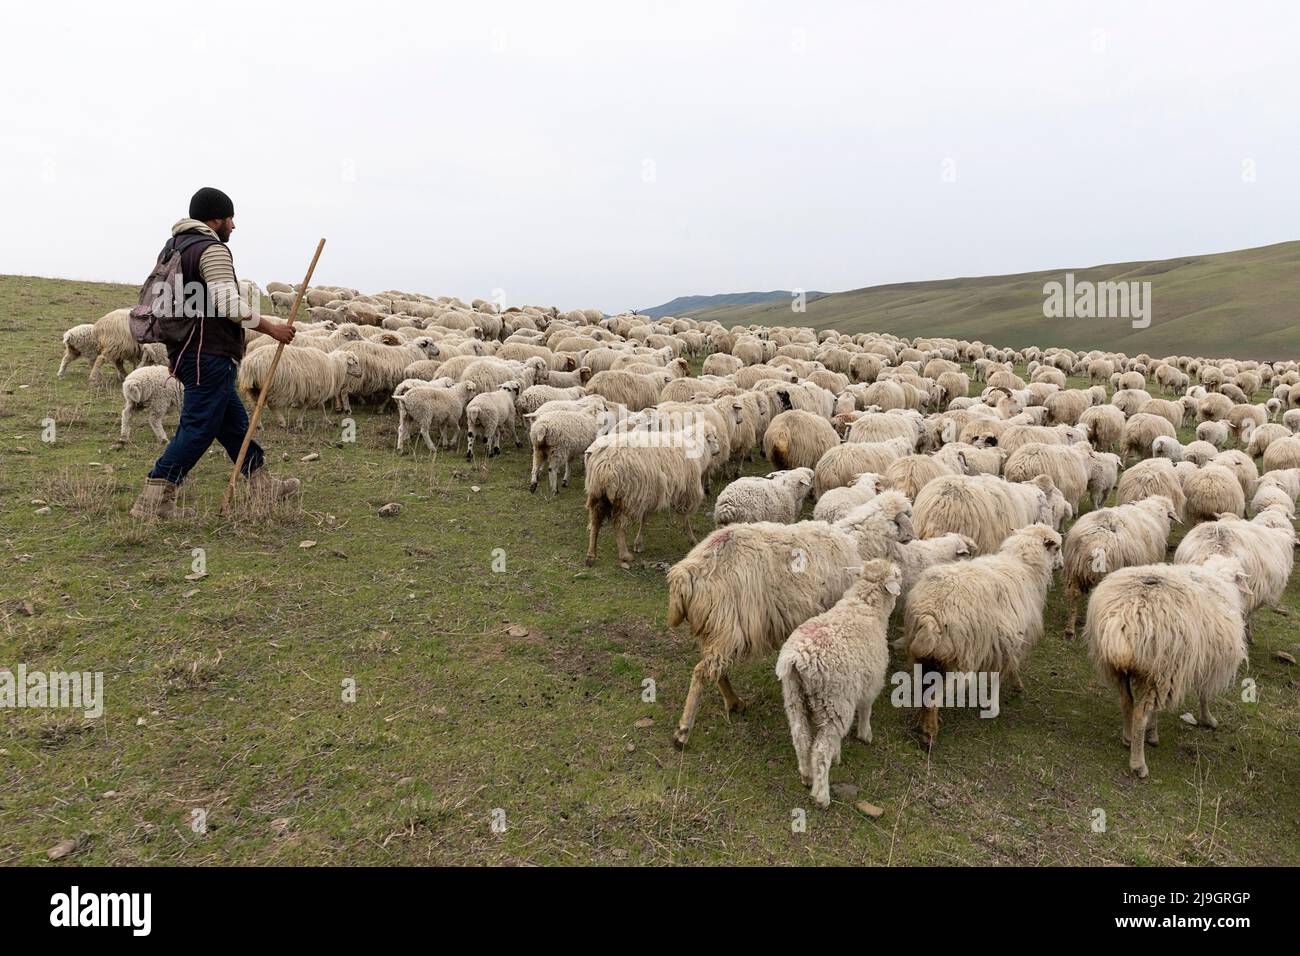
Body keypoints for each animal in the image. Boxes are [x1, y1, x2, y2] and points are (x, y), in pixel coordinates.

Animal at [585, 423, 722, 568]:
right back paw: (624, 555)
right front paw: (692, 538)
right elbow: (685, 518)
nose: (718, 451)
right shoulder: (687, 491)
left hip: (598, 493)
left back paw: (591, 555)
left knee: (595, 522)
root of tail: (605, 462)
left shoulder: (650, 495)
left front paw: (639, 543)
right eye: (714, 437)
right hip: (625, 497)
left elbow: (644, 519)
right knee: (618, 525)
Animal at [666, 492, 914, 748]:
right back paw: (683, 731)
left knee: (716, 671)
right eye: (905, 516)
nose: (911, 537)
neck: (859, 541)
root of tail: (686, 572)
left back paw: (734, 703)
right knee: (701, 673)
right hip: (726, 626)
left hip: (714, 629)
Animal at [775, 559, 902, 807]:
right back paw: (821, 795)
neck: (865, 606)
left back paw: (806, 775)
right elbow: (866, 709)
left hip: (794, 697)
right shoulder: (871, 683)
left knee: (801, 737)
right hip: (835, 702)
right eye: (897, 575)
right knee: (820, 748)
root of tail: (797, 658)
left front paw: (838, 753)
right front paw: (865, 734)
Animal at [903, 524, 1063, 747]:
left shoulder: (1003, 643)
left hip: (925, 657)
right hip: (960, 661)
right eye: (1057, 548)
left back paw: (921, 720)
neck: (1024, 567)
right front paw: (996, 703)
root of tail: (931, 615)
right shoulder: (1010, 642)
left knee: (924, 690)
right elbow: (1002, 673)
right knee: (934, 697)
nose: (1062, 566)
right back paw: (929, 734)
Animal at [1084, 555, 1249, 777]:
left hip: (1123, 669)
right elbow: (1204, 695)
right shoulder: (1205, 663)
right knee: (1140, 713)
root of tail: (1123, 617)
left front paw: (1152, 733)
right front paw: (1208, 719)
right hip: (1163, 669)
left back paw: (1128, 738)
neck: (1219, 577)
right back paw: (1138, 764)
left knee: (1127, 701)